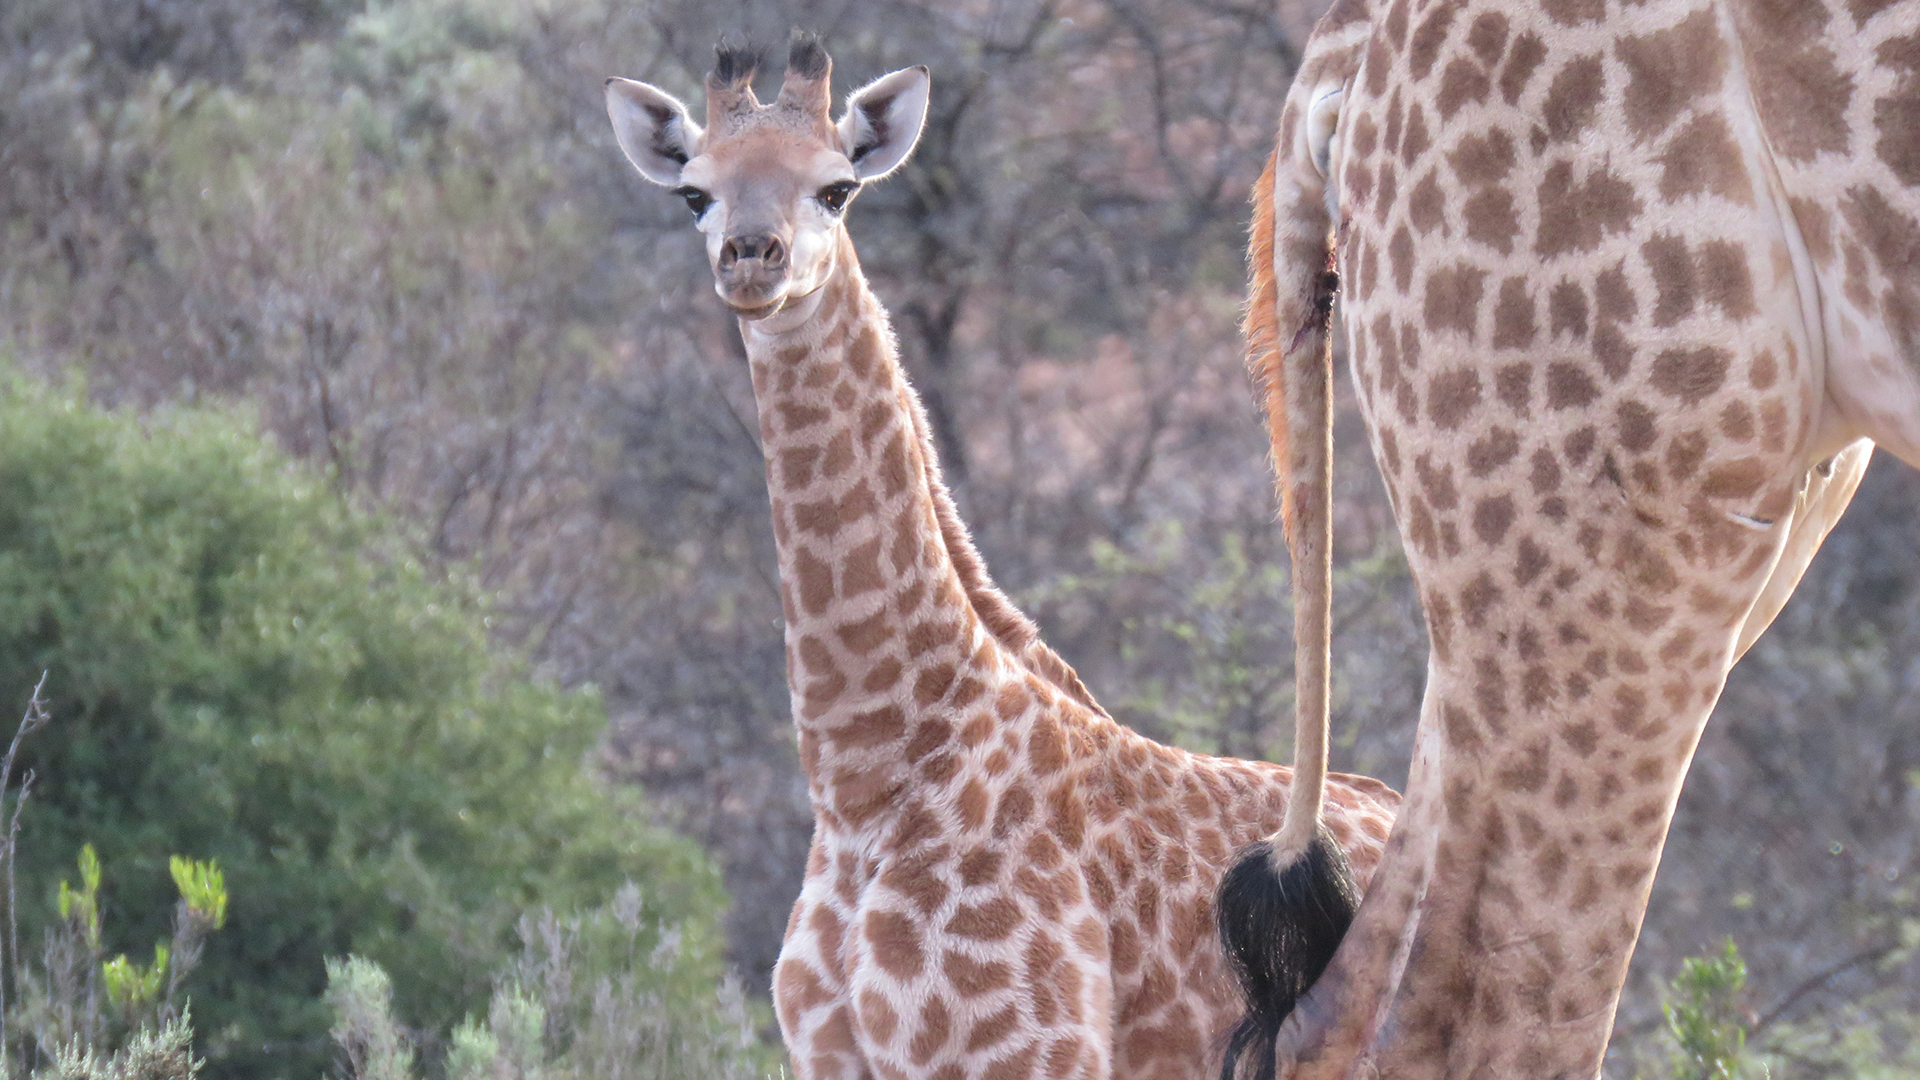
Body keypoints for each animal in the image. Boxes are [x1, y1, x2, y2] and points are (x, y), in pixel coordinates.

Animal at [602, 33, 1397, 1076]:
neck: (866, 775)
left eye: (836, 188)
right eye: (694, 193)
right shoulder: (828, 1055)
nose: (751, 259)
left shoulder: (1024, 1054)